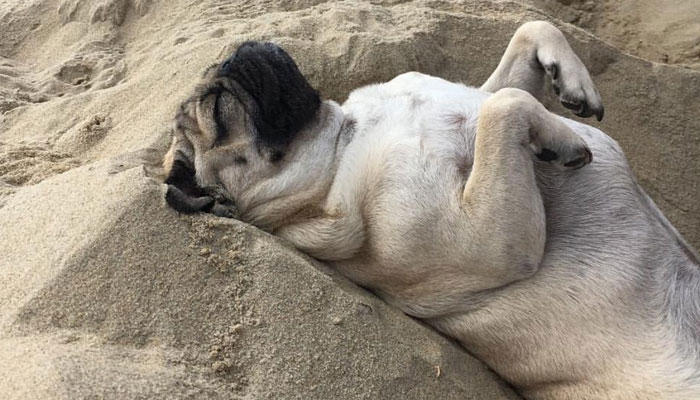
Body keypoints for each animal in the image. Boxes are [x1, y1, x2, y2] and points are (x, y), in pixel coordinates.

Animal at [164, 21, 700, 400]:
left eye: (217, 75)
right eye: (219, 110)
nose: (238, 52)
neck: (343, 139)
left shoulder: (482, 87)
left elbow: (526, 38)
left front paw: (570, 79)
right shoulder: (493, 242)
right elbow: (506, 104)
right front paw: (559, 137)